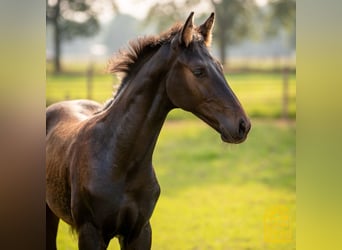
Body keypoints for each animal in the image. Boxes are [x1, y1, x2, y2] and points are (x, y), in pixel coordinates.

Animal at [46, 12, 251, 250]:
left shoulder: (140, 232)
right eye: (199, 71)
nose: (243, 125)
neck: (118, 160)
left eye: (220, 67)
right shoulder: (90, 233)